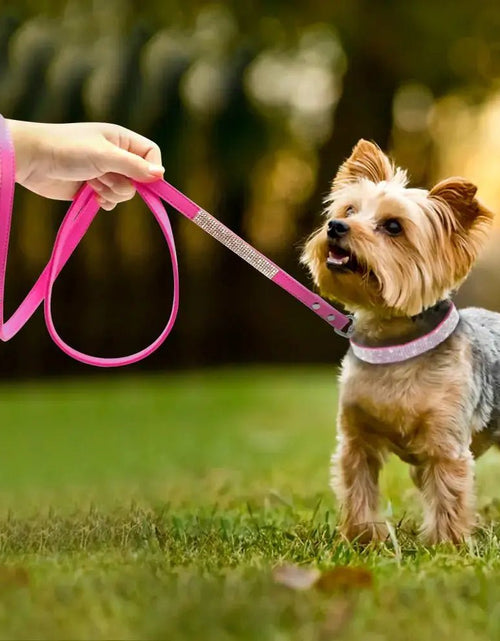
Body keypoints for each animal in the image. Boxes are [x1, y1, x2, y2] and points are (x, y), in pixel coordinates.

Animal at [298, 139, 498, 540]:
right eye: (349, 210)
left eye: (393, 226)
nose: (335, 226)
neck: (392, 345)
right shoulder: (355, 439)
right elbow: (358, 488)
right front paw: (362, 539)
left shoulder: (445, 442)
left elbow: (448, 495)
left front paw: (445, 544)